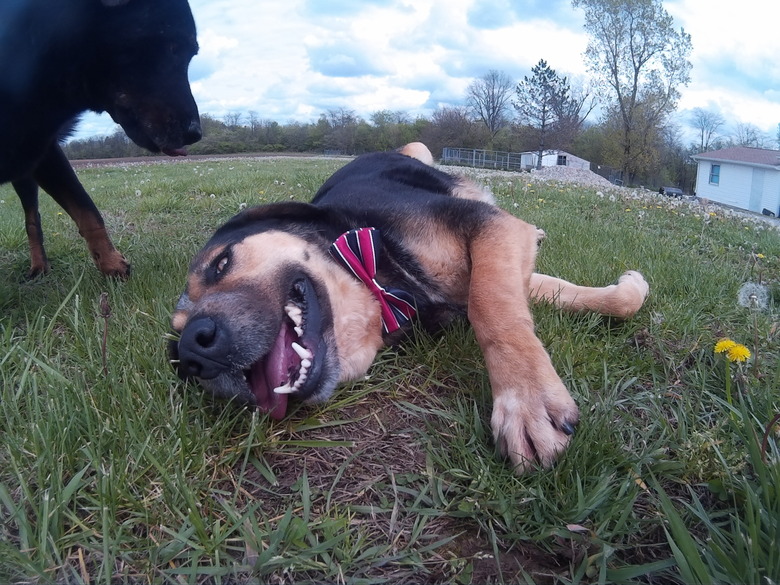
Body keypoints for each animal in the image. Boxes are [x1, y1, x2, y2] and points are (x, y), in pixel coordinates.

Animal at [0, 0, 201, 278]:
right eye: (173, 47)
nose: (196, 133)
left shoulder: (45, 150)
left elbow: (86, 209)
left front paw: (112, 265)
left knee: (32, 220)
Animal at [171, 144, 652, 472]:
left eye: (221, 263)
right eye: (176, 334)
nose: (191, 352)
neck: (381, 279)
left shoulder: (489, 235)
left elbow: (494, 306)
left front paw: (525, 402)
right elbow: (589, 296)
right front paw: (629, 287)